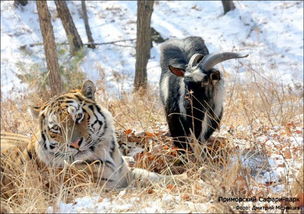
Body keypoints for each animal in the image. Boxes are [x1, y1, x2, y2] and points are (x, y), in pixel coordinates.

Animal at [0, 80, 186, 199]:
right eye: (56, 128)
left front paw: (185, 176)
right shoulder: (97, 189)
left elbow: (153, 176)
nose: (74, 144)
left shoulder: (125, 174)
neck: (106, 154)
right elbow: (131, 190)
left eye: (78, 117)